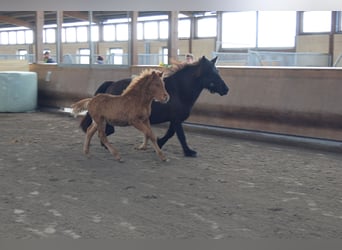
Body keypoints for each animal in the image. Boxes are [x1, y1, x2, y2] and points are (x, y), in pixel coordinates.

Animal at [80, 57, 230, 158]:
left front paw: (158, 143)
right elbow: (179, 136)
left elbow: (170, 134)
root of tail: (111, 84)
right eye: (212, 73)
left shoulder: (175, 120)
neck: (179, 90)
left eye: (217, 71)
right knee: (107, 130)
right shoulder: (176, 119)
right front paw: (188, 152)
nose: (226, 89)